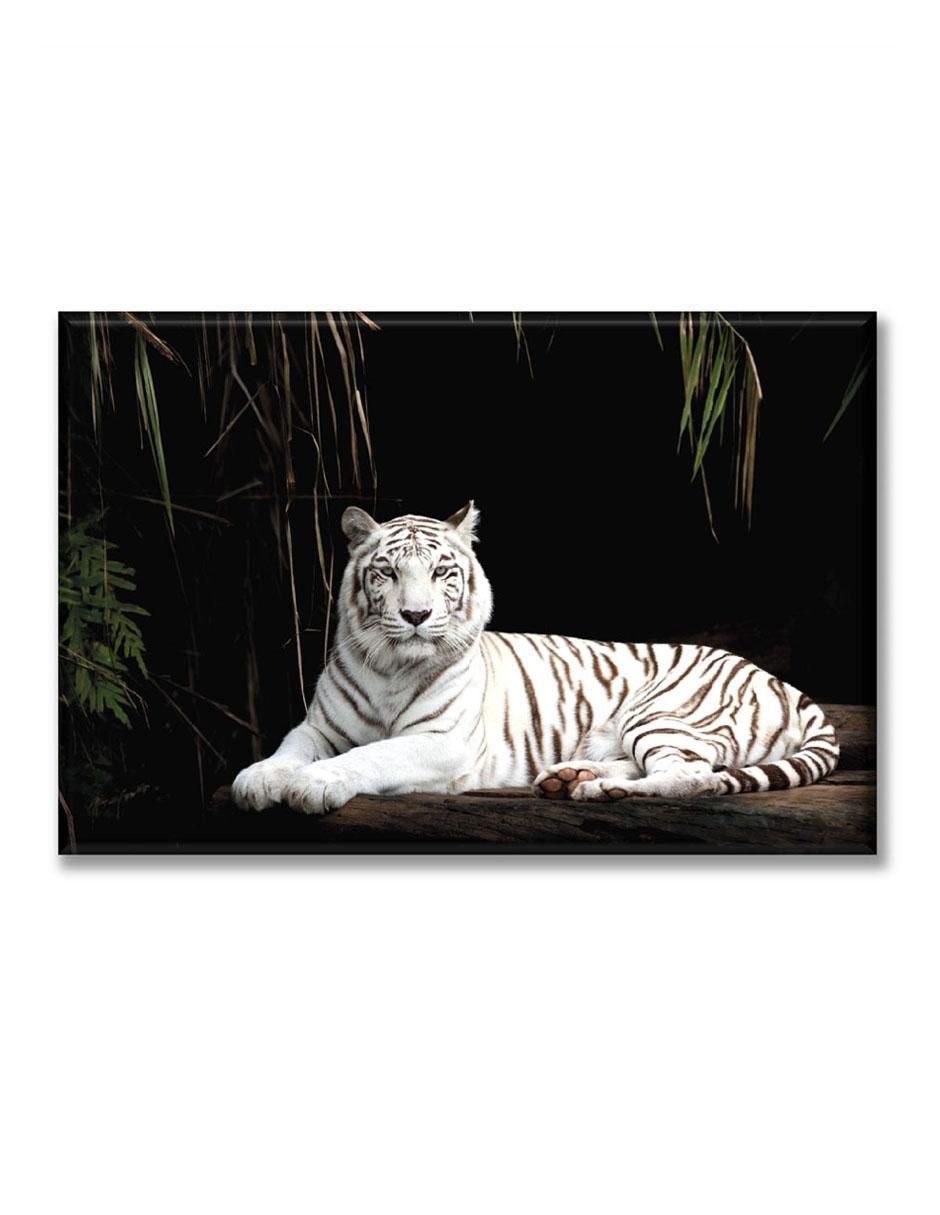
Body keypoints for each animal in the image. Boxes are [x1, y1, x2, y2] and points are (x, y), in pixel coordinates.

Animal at [231, 502, 839, 814]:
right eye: (386, 572)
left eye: (442, 572)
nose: (416, 615)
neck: (391, 666)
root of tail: (782, 683)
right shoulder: (319, 726)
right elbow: (288, 749)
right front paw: (255, 781)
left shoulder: (443, 742)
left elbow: (370, 756)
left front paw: (312, 785)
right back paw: (566, 776)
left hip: (664, 713)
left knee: (694, 776)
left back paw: (602, 789)